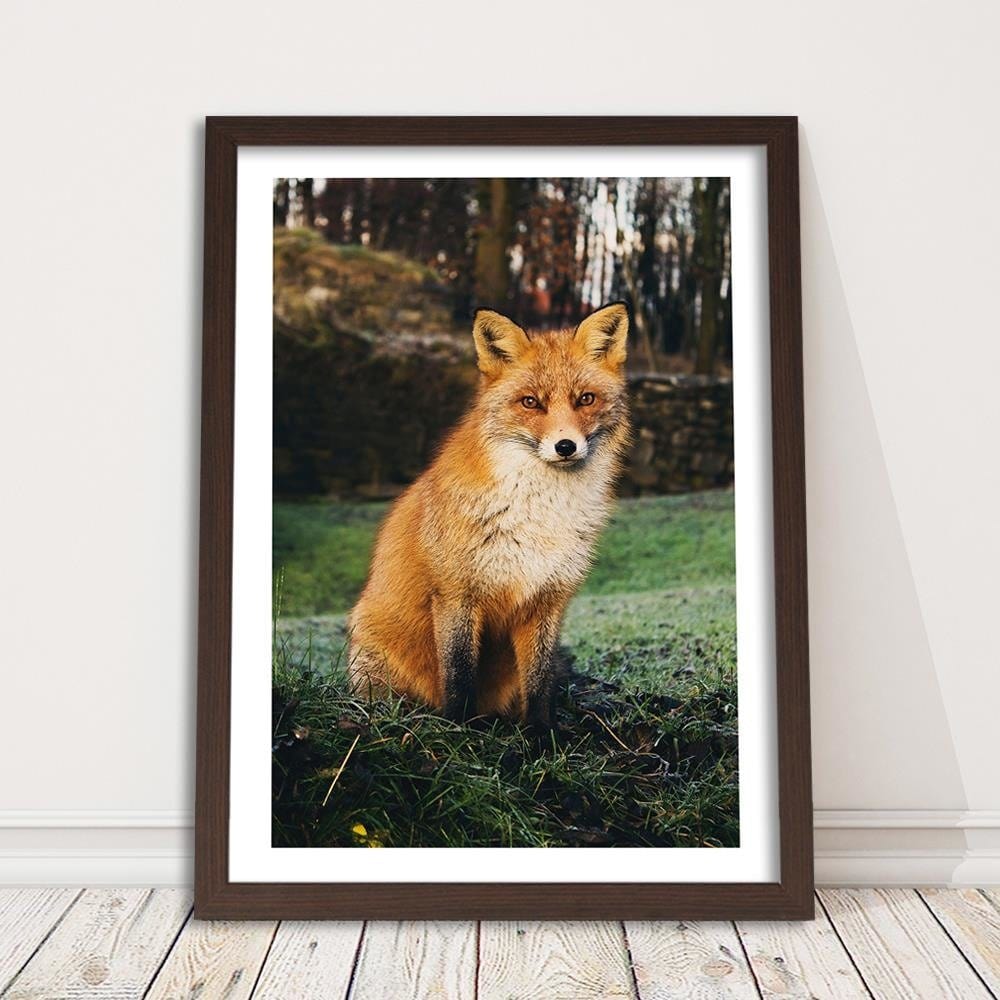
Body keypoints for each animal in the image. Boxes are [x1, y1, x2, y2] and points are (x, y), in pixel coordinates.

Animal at [347, 302, 632, 727]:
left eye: (585, 399)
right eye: (530, 402)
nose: (566, 446)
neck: (539, 515)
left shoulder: (548, 599)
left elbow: (540, 683)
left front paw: (541, 734)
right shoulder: (456, 595)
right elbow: (459, 675)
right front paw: (459, 729)